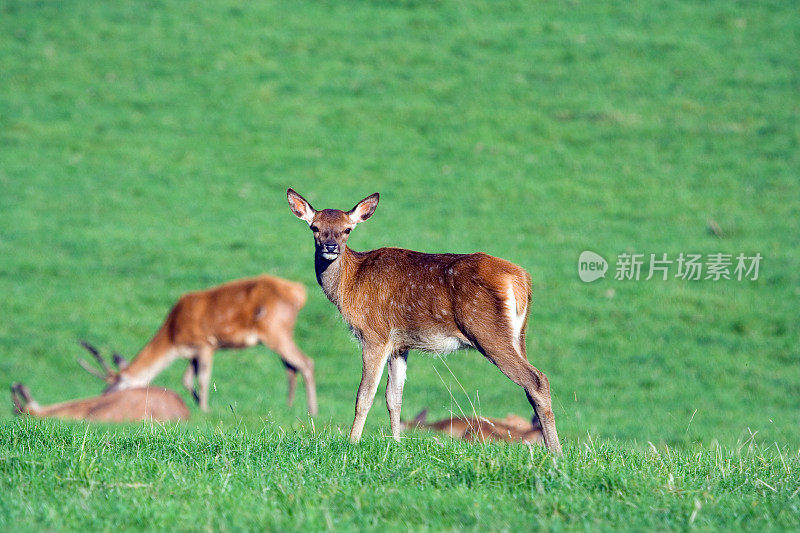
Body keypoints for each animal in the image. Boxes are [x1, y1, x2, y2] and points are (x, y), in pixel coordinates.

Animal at [79, 274, 318, 416]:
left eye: (117, 385)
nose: (101, 398)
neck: (173, 336)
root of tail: (300, 293)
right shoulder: (192, 351)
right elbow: (186, 380)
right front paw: (196, 403)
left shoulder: (205, 344)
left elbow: (203, 379)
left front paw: (204, 408)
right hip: (280, 332)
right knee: (290, 366)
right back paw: (289, 406)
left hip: (275, 329)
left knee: (305, 362)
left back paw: (312, 410)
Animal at [288, 189, 564, 450]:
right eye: (315, 227)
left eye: (347, 229)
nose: (330, 247)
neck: (350, 284)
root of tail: (521, 280)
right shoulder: (399, 344)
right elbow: (394, 398)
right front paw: (397, 442)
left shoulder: (374, 334)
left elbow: (364, 395)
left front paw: (353, 441)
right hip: (518, 335)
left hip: (486, 330)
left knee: (536, 380)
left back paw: (555, 451)